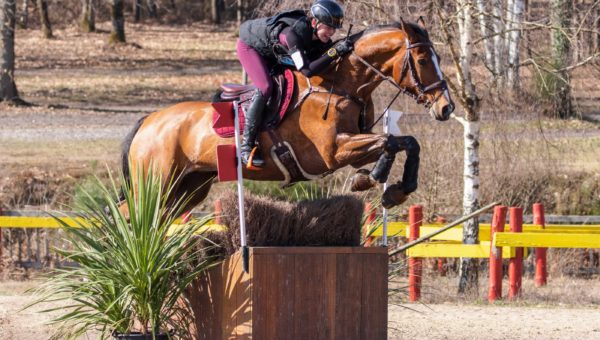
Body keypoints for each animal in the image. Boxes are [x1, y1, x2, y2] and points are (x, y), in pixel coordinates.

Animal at [119, 19, 452, 212]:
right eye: (423, 59)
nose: (446, 107)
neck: (341, 85)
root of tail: (149, 121)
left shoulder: (353, 145)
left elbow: (405, 142)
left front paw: (394, 191)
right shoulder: (331, 152)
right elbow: (390, 141)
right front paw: (372, 178)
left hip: (189, 188)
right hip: (153, 184)